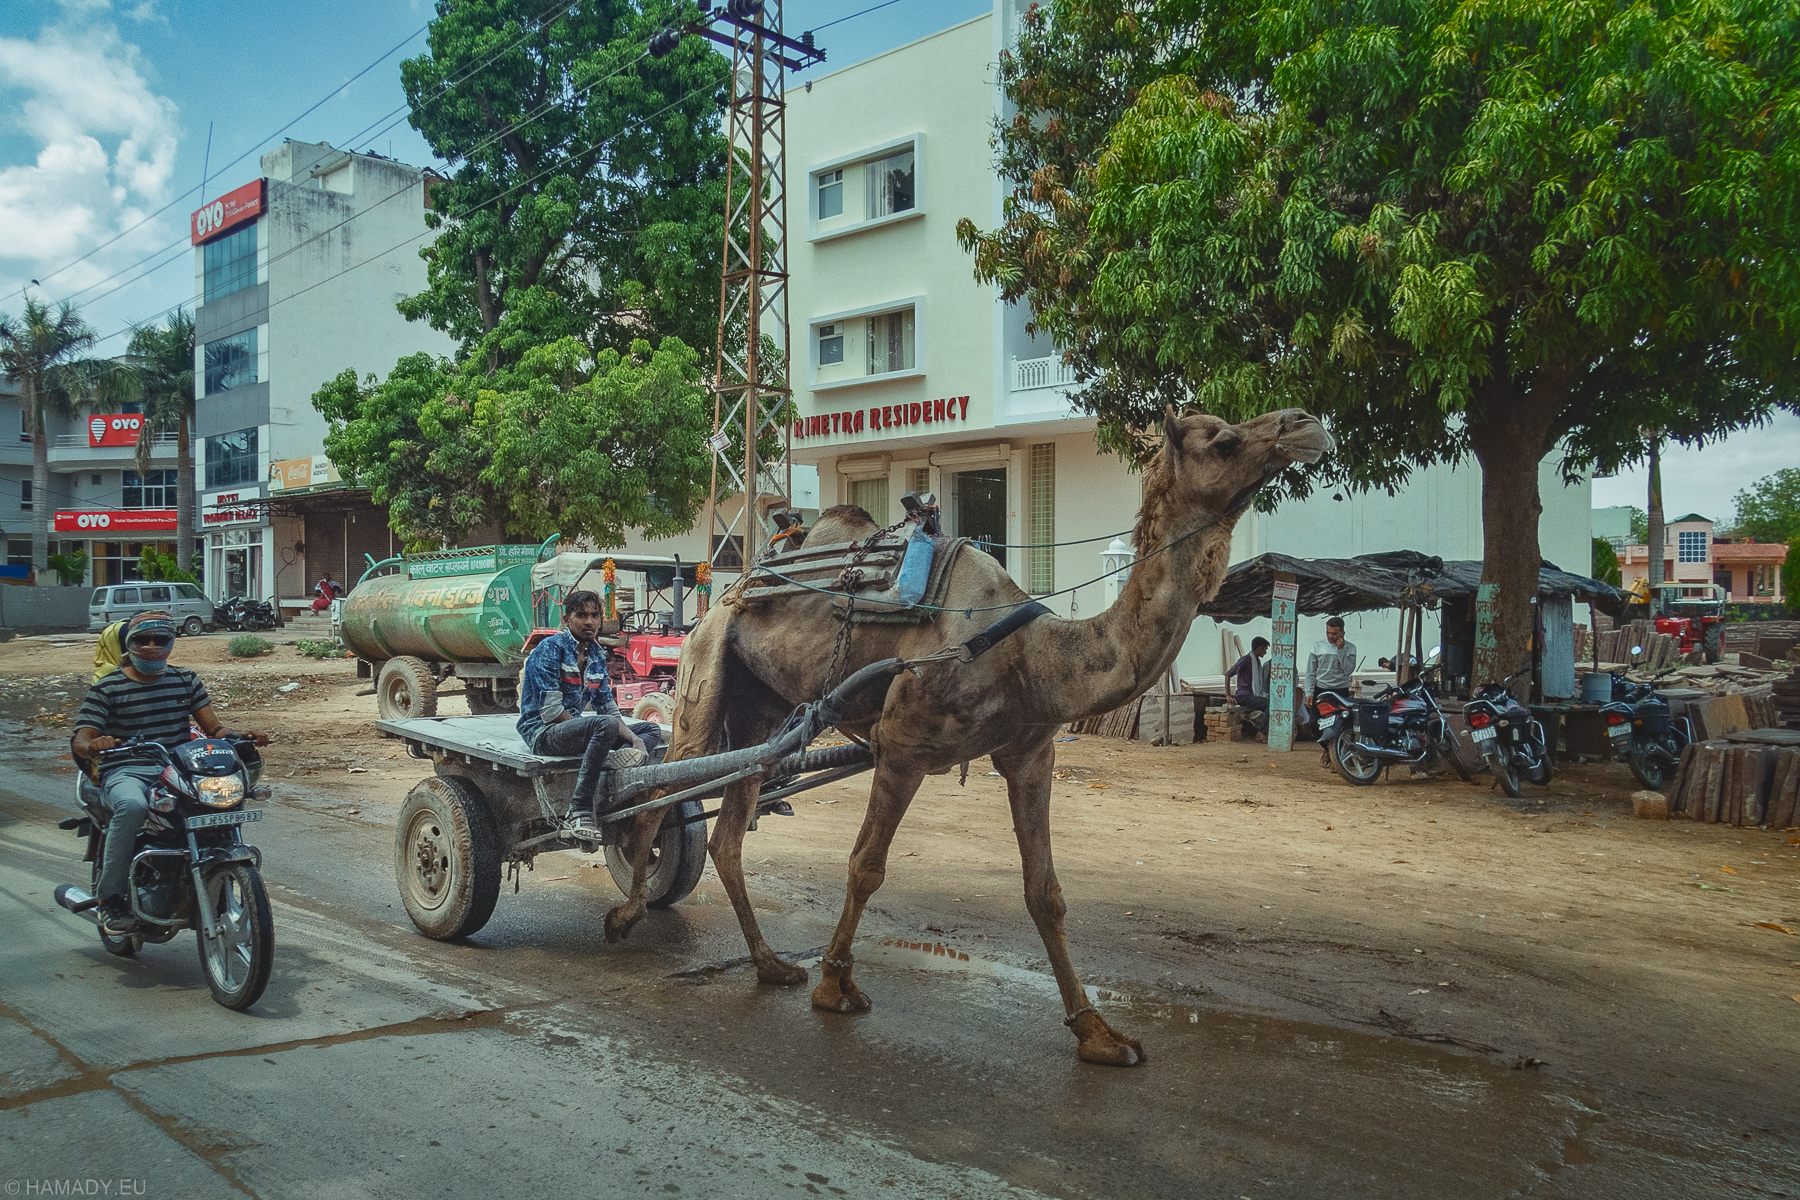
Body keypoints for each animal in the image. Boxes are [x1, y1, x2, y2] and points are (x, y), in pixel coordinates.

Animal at [604, 408, 1339, 1065]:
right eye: (1223, 439)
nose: (1308, 423)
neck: (1029, 655)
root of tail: (729, 592)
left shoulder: (1029, 753)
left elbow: (1045, 892)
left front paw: (1098, 1033)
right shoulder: (902, 745)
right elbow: (866, 866)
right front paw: (836, 986)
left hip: (764, 710)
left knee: (727, 831)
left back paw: (769, 964)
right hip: (705, 673)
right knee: (661, 788)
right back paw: (628, 913)